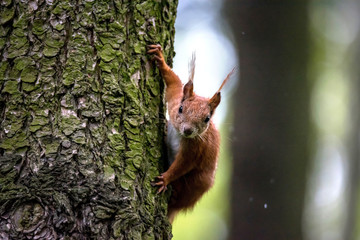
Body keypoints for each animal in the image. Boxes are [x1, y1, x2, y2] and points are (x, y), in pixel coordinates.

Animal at [148, 43, 235, 223]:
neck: (180, 135)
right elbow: (174, 83)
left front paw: (165, 178)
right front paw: (160, 59)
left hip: (196, 183)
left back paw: (174, 193)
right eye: (181, 109)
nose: (188, 130)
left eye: (207, 119)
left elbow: (182, 165)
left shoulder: (196, 149)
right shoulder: (174, 99)